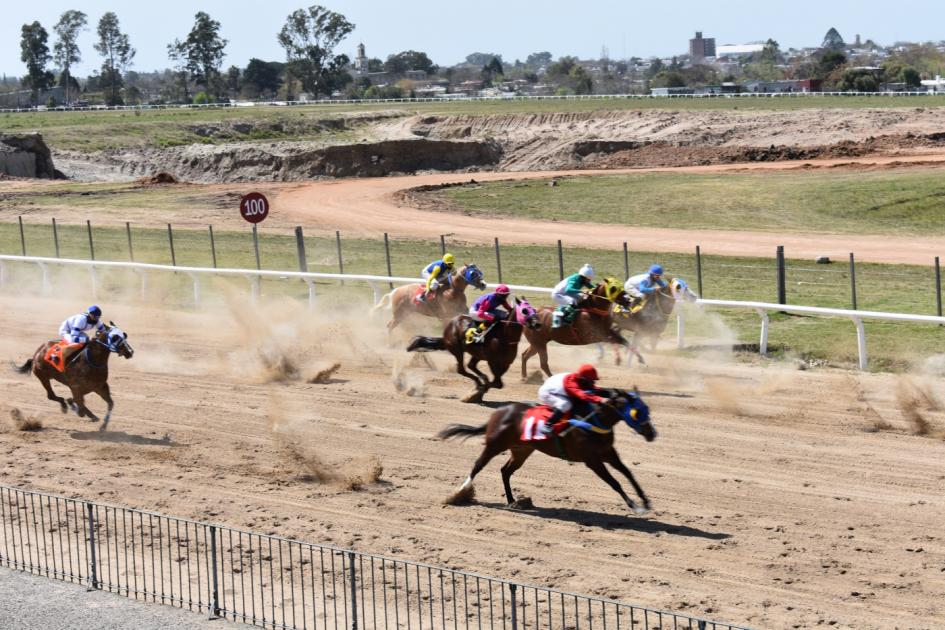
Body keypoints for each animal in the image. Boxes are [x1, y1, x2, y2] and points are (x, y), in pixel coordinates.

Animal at [404, 298, 540, 404]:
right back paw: (479, 382)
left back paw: (481, 380)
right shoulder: (492, 361)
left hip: (477, 354)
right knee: (462, 369)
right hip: (457, 350)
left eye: (534, 309)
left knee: (471, 366)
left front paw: (480, 389)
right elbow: (497, 383)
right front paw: (475, 394)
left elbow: (498, 383)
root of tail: (449, 327)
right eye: (525, 310)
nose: (537, 323)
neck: (505, 336)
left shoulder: (506, 363)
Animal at [436, 396, 652, 512]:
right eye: (637, 411)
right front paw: (635, 506)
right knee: (478, 465)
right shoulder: (592, 460)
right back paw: (458, 493)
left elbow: (628, 473)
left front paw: (645, 500)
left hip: (521, 450)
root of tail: (497, 413)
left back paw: (513, 501)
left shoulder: (608, 453)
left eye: (646, 409)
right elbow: (614, 482)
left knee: (505, 471)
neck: (593, 421)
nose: (651, 432)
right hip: (495, 445)